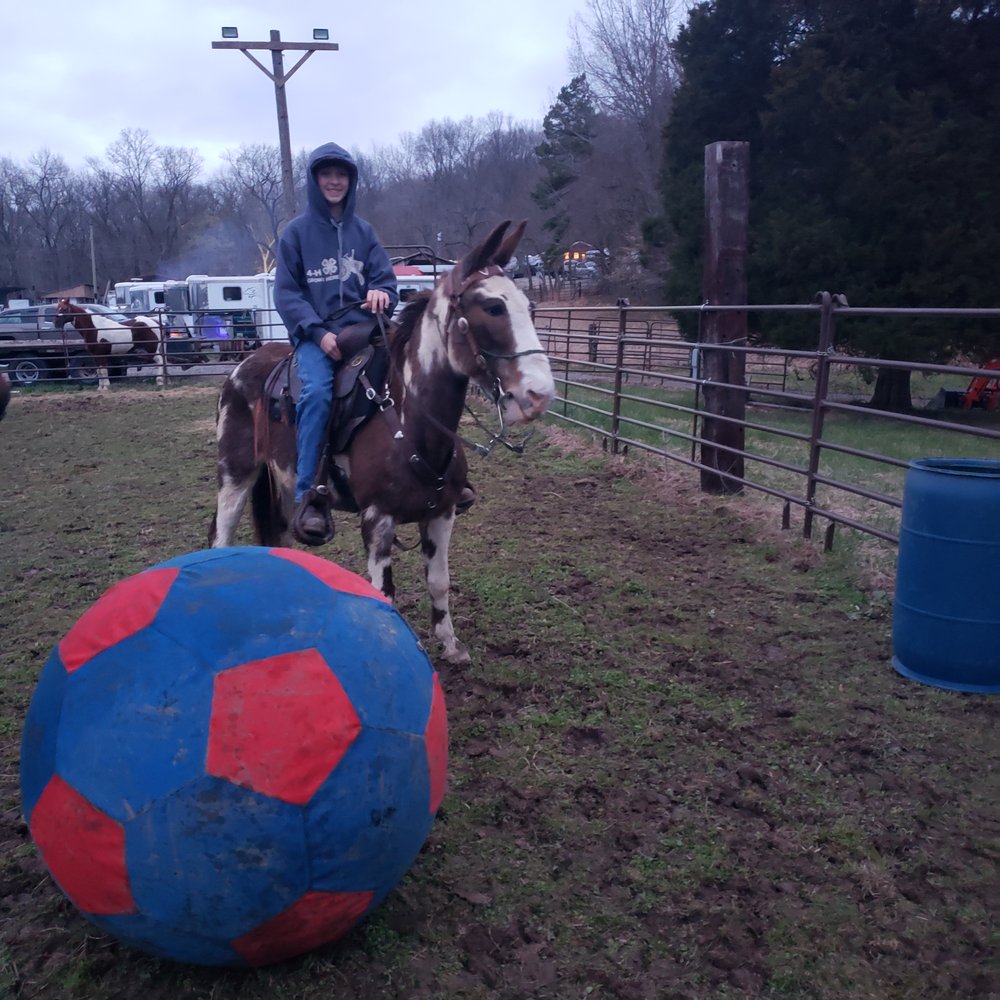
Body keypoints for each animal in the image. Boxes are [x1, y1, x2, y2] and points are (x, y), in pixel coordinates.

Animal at [210, 223, 556, 668]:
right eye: (493, 308)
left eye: (529, 307)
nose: (539, 394)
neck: (409, 422)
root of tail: (244, 365)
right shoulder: (377, 520)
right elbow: (382, 595)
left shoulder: (443, 514)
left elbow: (439, 581)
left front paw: (451, 644)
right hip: (235, 475)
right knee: (221, 536)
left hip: (283, 484)